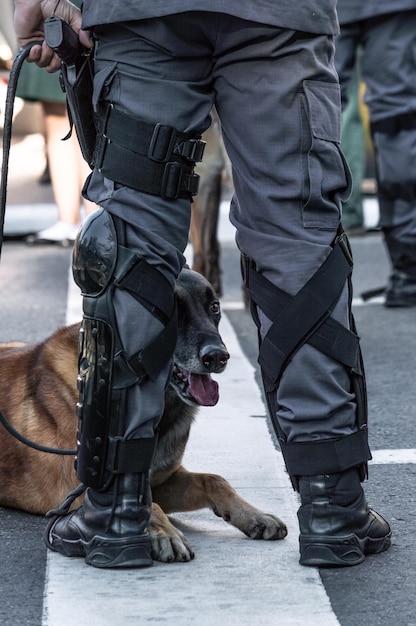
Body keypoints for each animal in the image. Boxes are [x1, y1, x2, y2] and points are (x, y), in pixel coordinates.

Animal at [0, 268, 286, 560]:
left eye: (214, 307)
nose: (217, 357)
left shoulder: (163, 481)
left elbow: (215, 480)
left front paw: (254, 515)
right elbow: (146, 506)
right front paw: (167, 532)